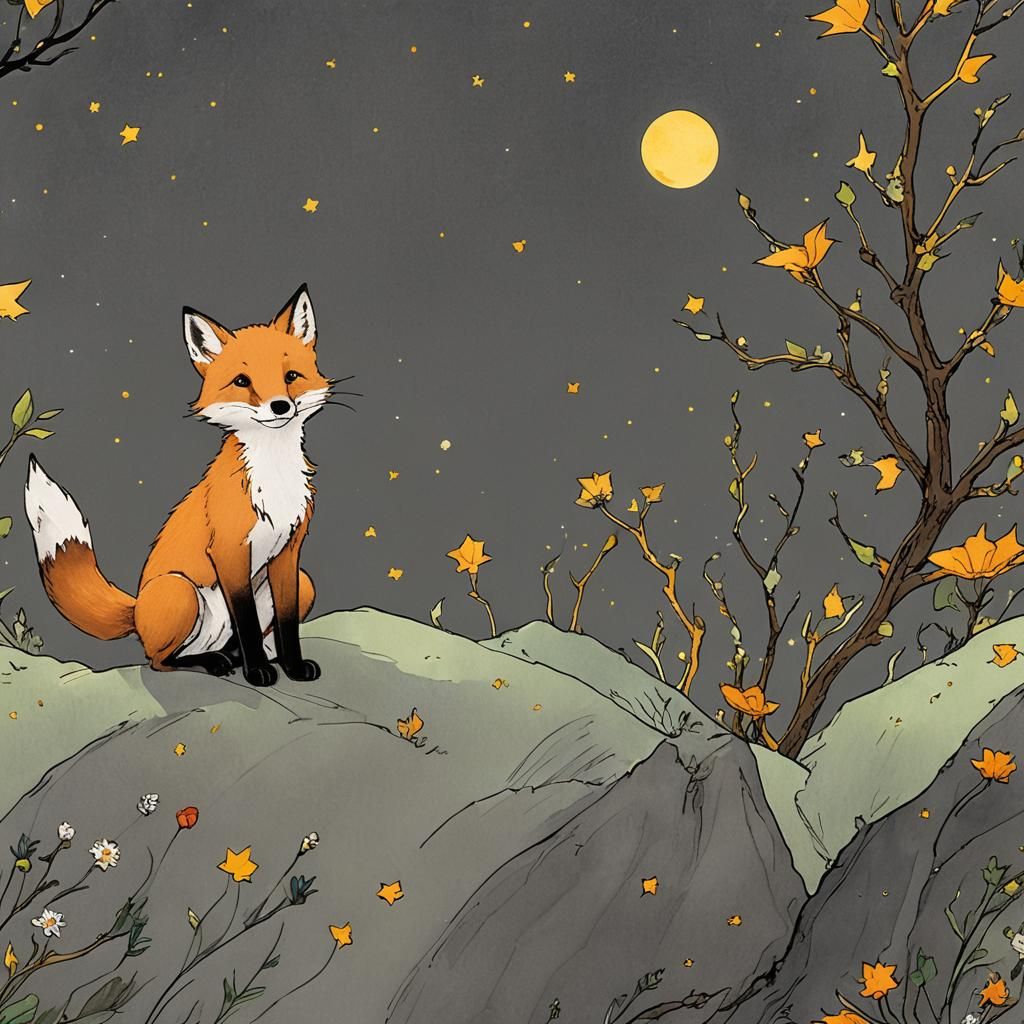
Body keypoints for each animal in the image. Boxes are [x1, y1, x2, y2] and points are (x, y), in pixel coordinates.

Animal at [24, 284, 334, 687]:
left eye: (291, 376)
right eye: (242, 382)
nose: (280, 406)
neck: (274, 476)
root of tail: (136, 610)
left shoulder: (290, 553)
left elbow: (286, 623)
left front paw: (292, 667)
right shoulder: (230, 552)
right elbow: (247, 623)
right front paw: (257, 672)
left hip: (304, 581)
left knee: (217, 646)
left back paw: (234, 657)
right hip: (180, 591)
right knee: (161, 661)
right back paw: (214, 662)